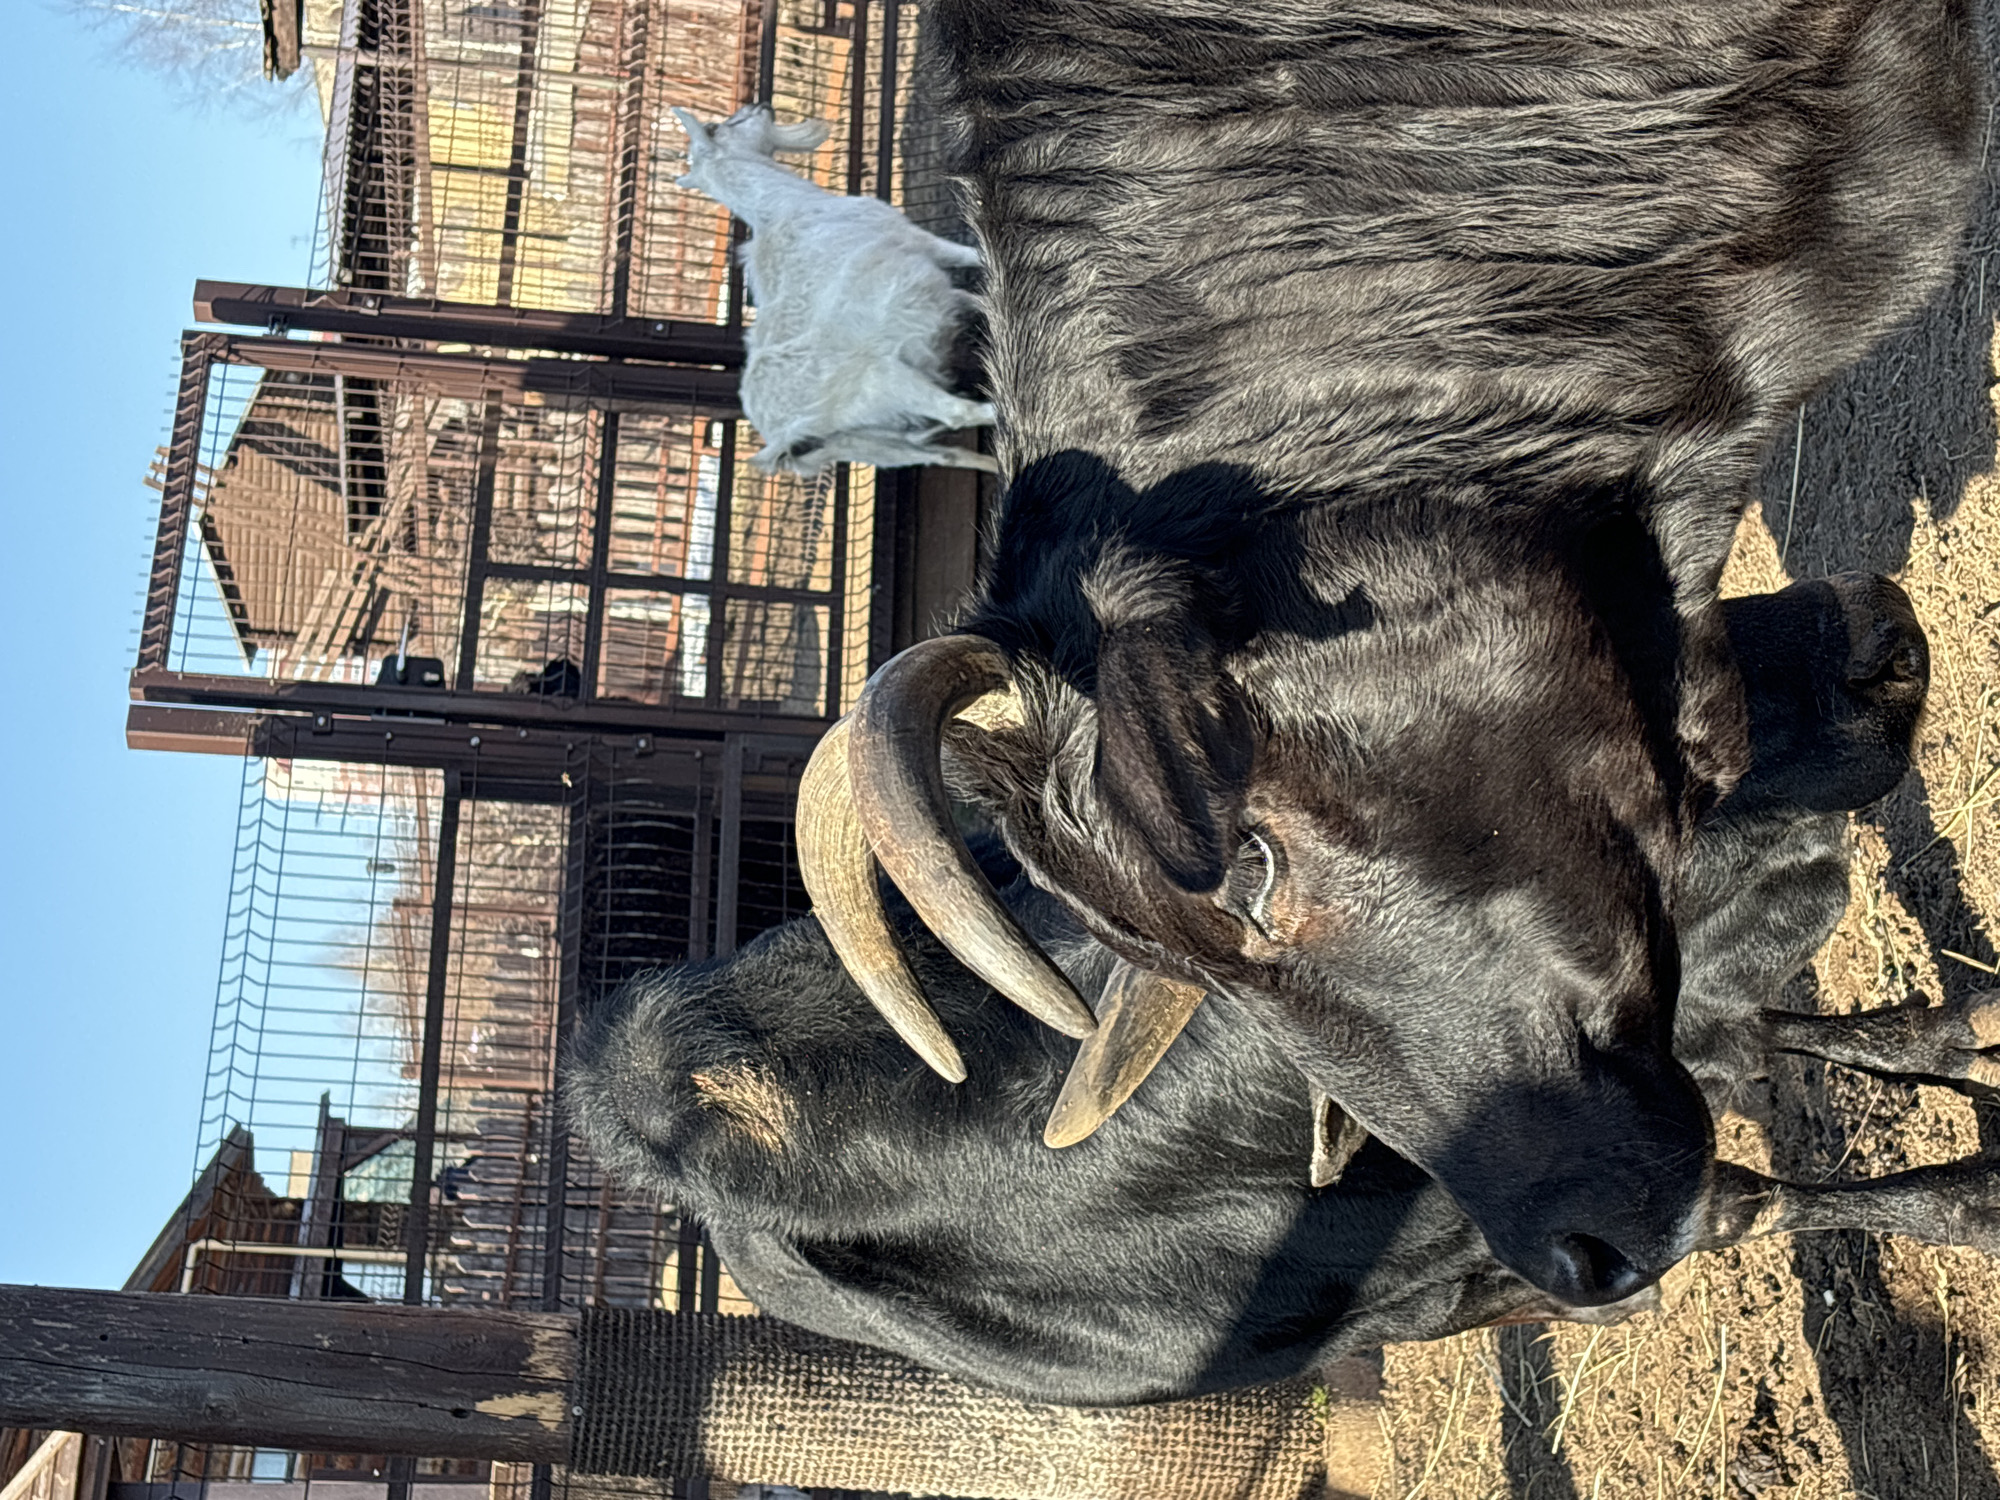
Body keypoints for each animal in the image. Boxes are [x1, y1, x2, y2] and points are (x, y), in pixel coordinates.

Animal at [673, 104, 997, 475]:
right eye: (719, 126)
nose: (759, 107)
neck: (780, 207)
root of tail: (782, 439)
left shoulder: (935, 289)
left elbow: (975, 299)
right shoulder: (916, 242)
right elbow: (968, 257)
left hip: (875, 445)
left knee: (947, 454)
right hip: (887, 386)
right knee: (959, 414)